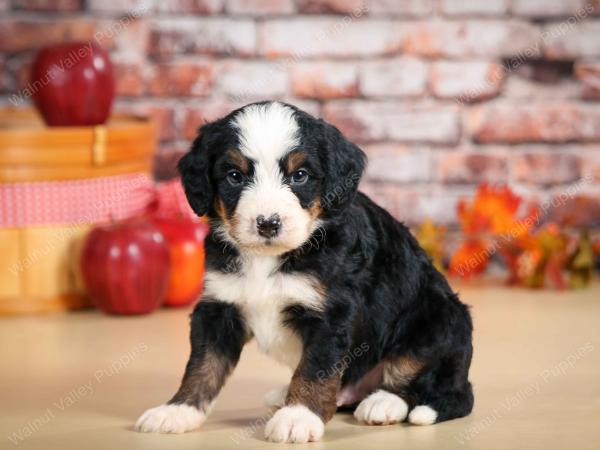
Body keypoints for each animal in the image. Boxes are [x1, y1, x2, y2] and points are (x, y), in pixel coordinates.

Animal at [135, 100, 474, 442]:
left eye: (299, 175)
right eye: (234, 176)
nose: (268, 223)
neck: (269, 258)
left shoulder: (330, 314)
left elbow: (314, 369)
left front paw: (297, 417)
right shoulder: (218, 305)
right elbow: (203, 365)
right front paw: (178, 410)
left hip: (439, 319)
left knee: (420, 378)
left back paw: (383, 403)